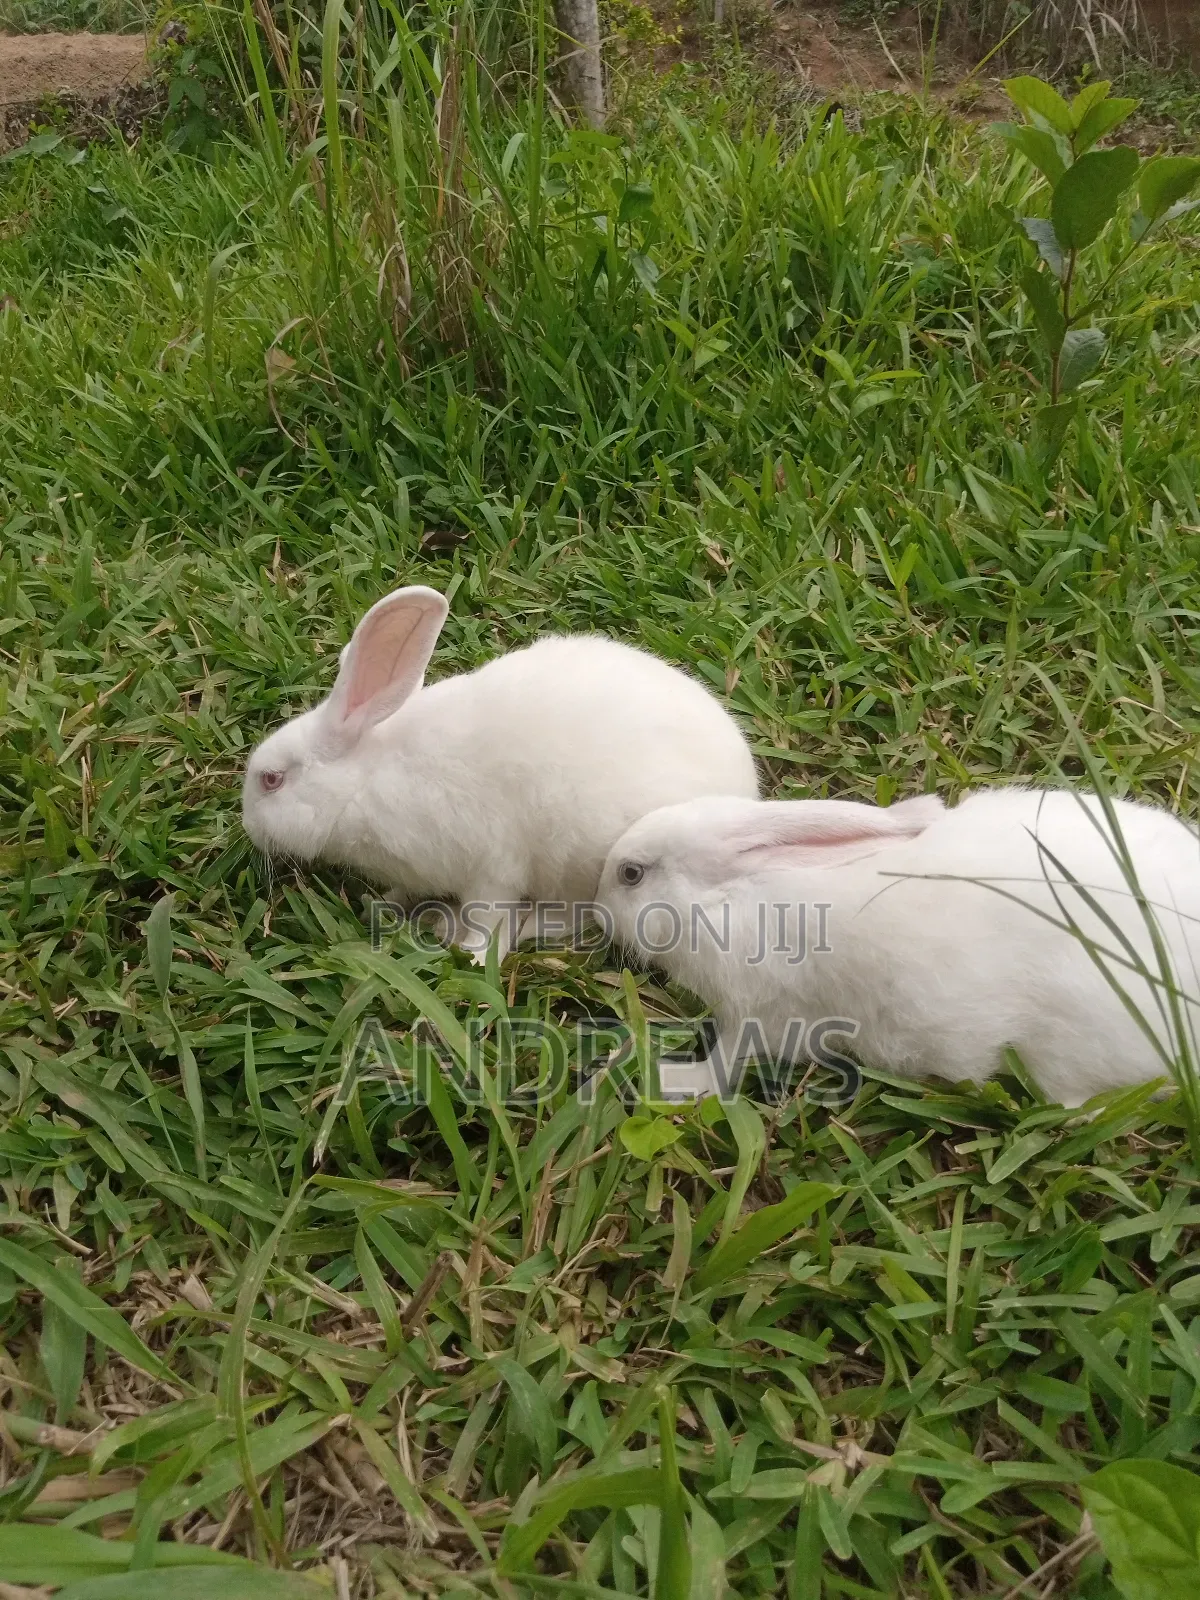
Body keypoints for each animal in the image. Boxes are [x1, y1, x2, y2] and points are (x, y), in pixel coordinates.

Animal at [242, 585, 759, 961]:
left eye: (272, 779)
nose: (248, 829)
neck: (364, 780)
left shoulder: (492, 864)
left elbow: (486, 913)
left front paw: (471, 955)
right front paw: (382, 904)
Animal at [597, 786, 1200, 1107]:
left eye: (631, 874)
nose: (597, 907)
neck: (732, 896)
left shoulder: (759, 1014)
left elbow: (725, 1063)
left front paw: (667, 1079)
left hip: (1068, 1053)